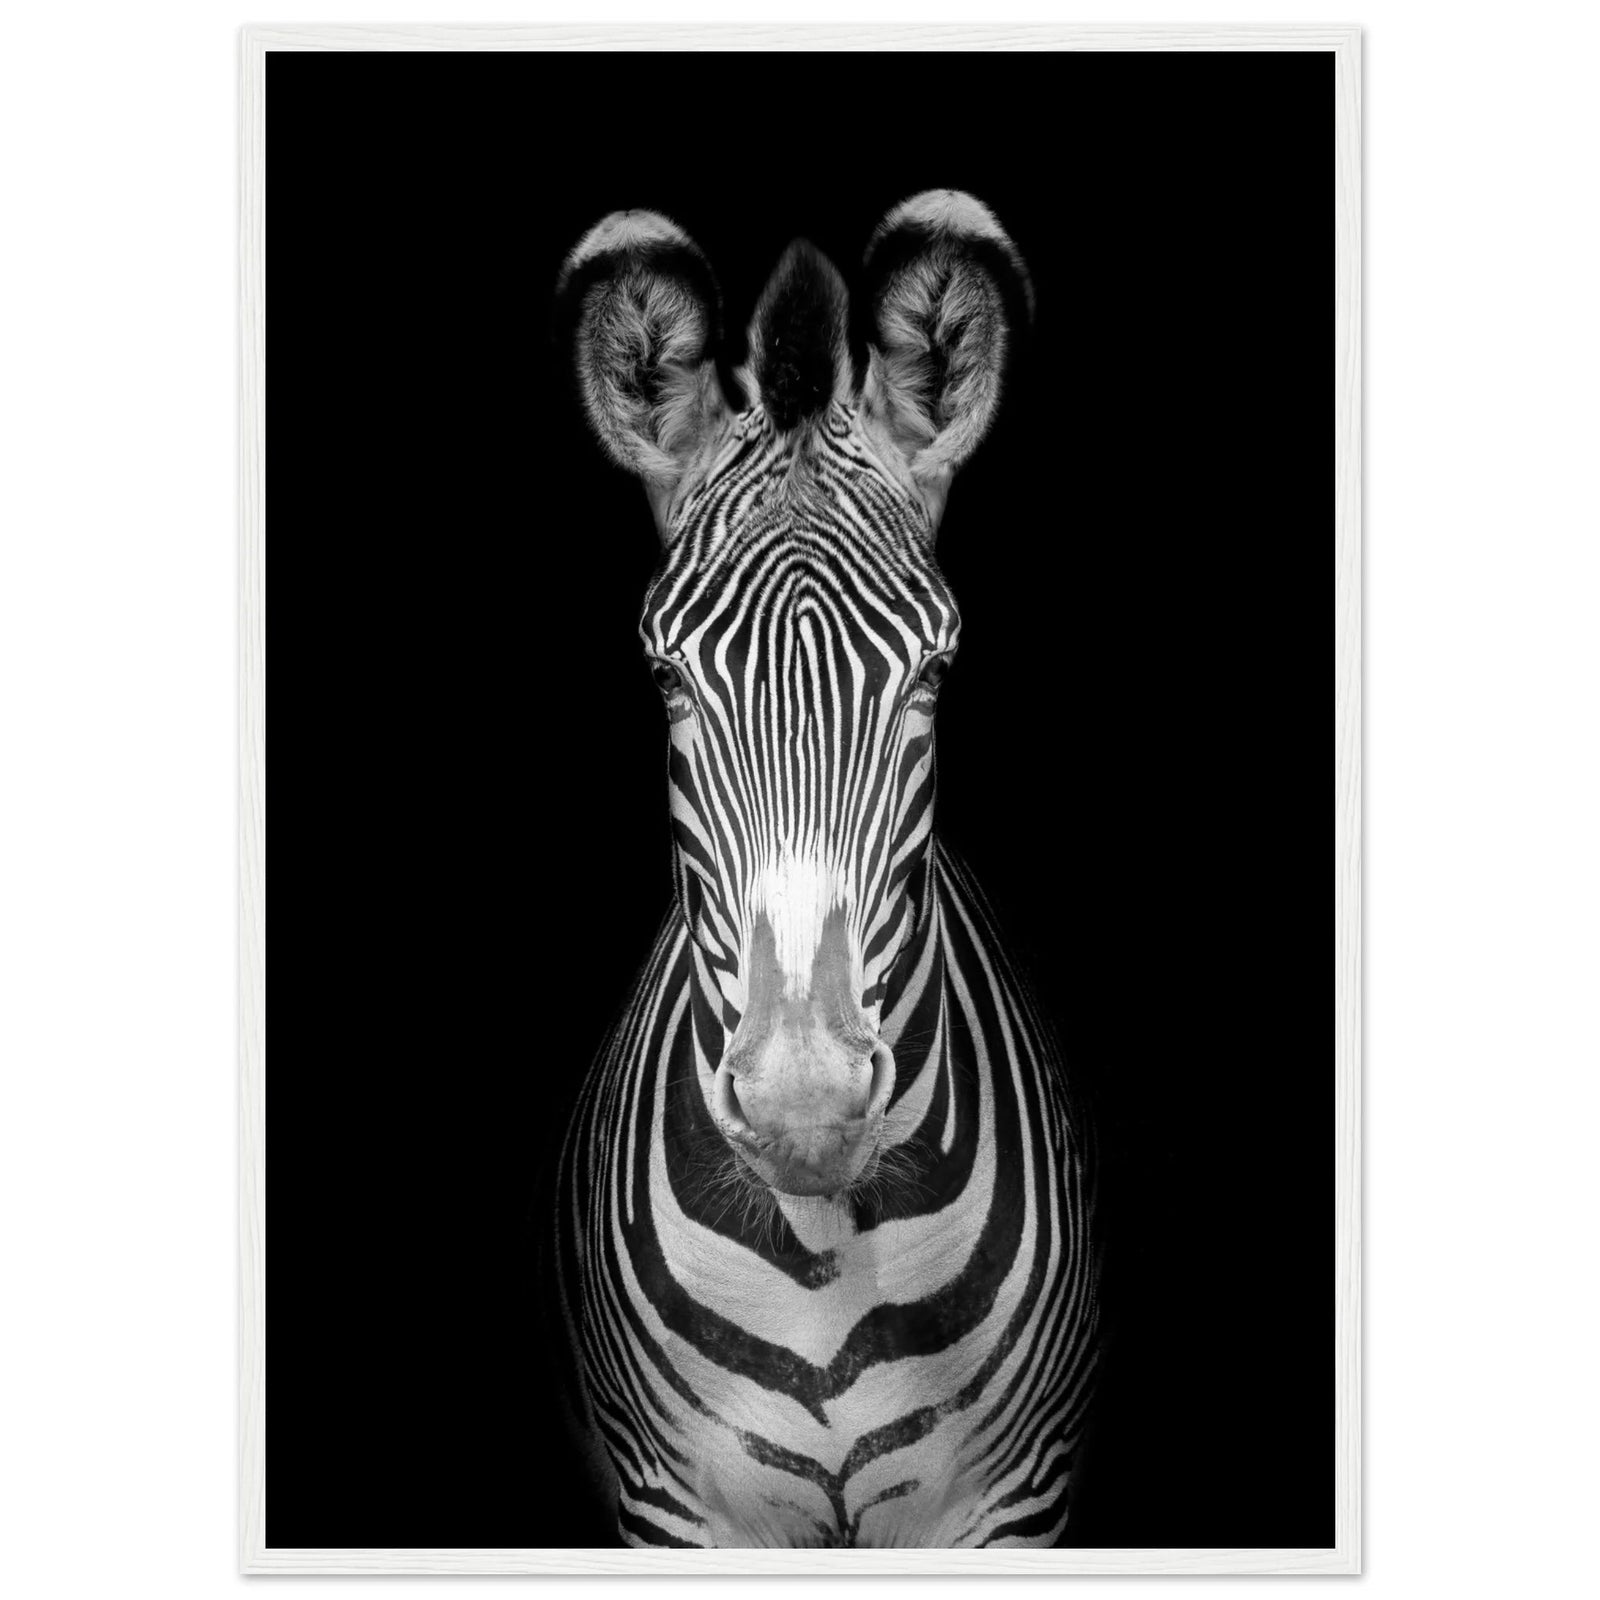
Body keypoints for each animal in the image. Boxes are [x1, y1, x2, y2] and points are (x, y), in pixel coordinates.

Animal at [550, 191, 1098, 1549]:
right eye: (666, 682)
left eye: (934, 677)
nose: (806, 1111)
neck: (822, 1250)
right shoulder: (675, 1508)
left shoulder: (1012, 1504)